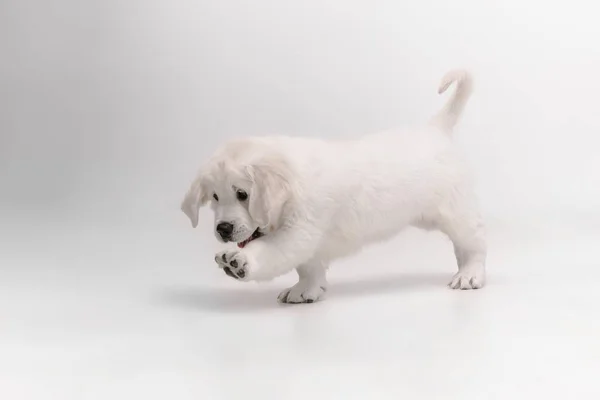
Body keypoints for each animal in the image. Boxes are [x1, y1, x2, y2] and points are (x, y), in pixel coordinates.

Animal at [180, 69, 486, 304]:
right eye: (215, 197)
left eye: (242, 194)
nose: (223, 229)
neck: (290, 187)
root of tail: (436, 128)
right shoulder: (308, 241)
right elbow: (308, 268)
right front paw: (305, 290)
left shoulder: (298, 232)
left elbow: (270, 250)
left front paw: (239, 261)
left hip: (454, 213)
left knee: (474, 243)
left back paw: (470, 274)